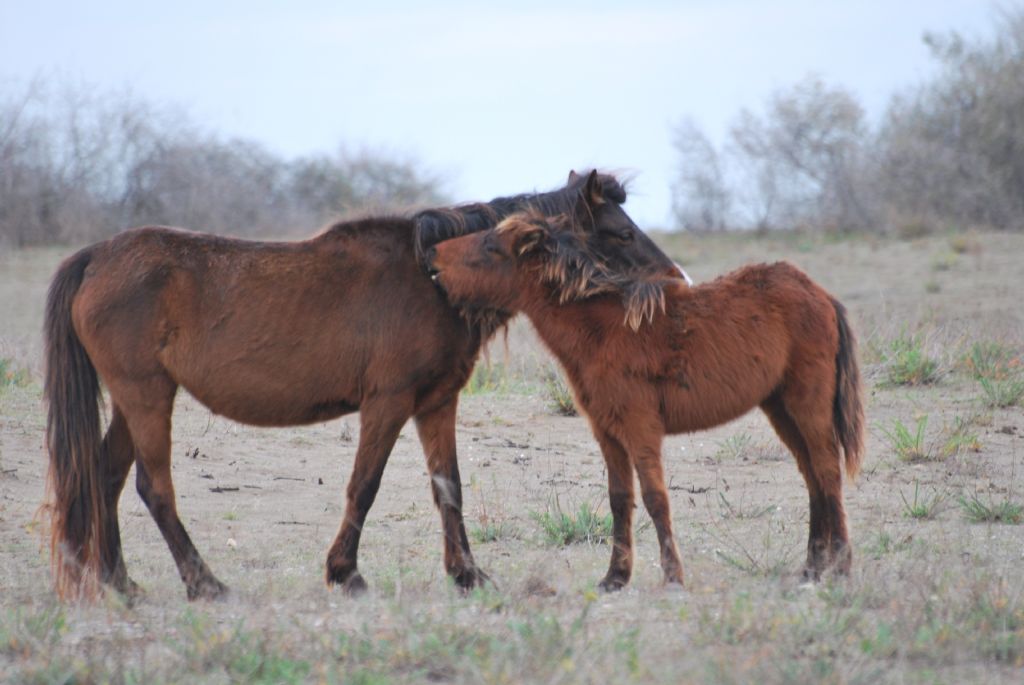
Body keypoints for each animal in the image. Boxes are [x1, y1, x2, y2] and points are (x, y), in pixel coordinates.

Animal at [44, 170, 679, 597]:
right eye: (620, 232)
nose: (677, 279)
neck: (435, 276)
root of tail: (96, 257)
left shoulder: (436, 404)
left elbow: (448, 489)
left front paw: (467, 574)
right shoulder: (387, 402)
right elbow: (364, 486)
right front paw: (345, 573)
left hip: (137, 400)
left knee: (104, 477)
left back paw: (119, 584)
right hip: (147, 395)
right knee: (153, 488)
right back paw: (205, 584)